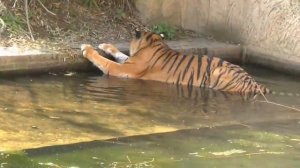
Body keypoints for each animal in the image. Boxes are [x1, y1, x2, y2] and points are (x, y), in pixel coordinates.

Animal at [80, 29, 270, 94]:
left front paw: (87, 48)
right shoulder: (130, 62)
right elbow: (119, 54)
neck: (153, 42)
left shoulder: (126, 70)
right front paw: (105, 45)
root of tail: (255, 84)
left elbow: (106, 62)